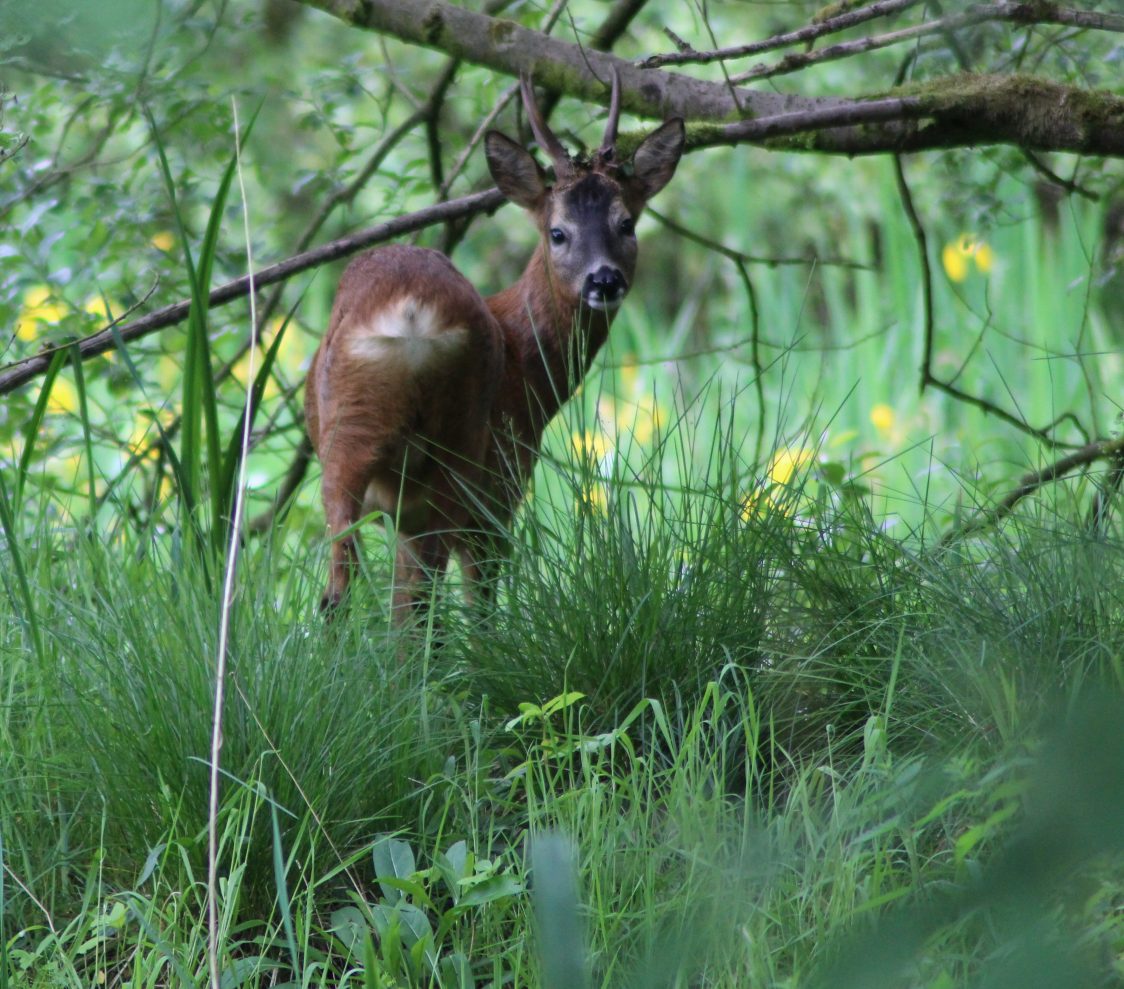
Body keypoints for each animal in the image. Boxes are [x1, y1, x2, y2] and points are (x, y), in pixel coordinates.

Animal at [303, 73, 683, 620]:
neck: (527, 362)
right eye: (558, 232)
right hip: (458, 444)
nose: (605, 280)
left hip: (347, 440)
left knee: (341, 592)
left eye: (626, 224)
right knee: (420, 603)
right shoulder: (503, 484)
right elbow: (478, 599)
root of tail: (411, 311)